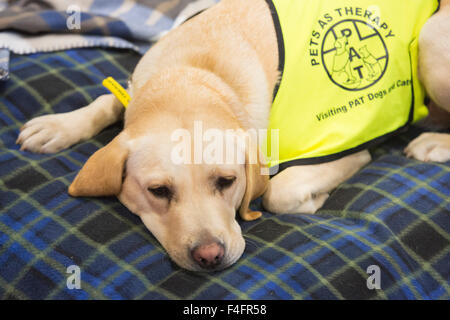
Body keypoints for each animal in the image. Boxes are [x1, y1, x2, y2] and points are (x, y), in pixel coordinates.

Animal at [15, 0, 450, 272]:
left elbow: (278, 192)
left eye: (226, 182)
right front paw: (60, 125)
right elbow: (109, 99)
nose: (210, 255)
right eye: (158, 191)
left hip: (431, 37)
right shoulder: (137, 86)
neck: (199, 73)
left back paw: (433, 142)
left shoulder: (344, 146)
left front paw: (314, 199)